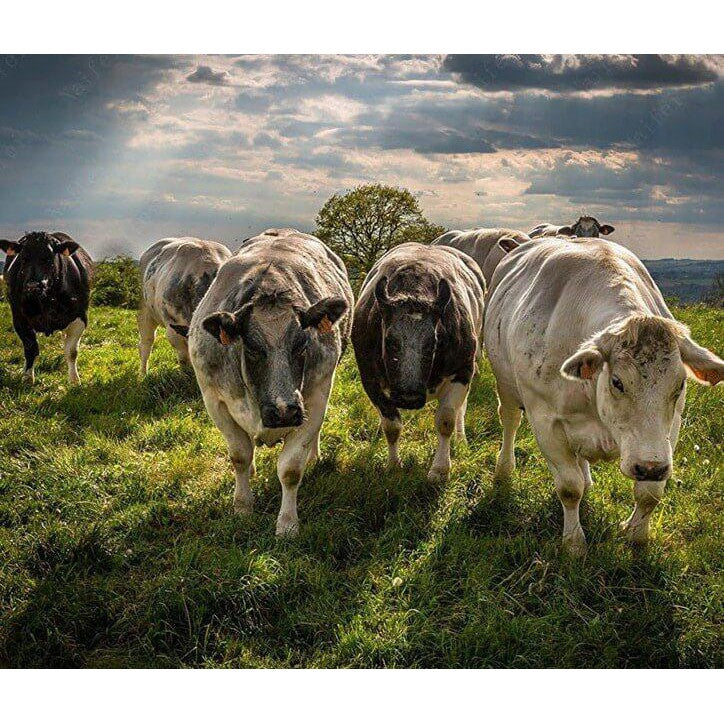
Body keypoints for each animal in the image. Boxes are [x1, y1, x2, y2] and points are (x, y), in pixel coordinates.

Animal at [0, 231, 93, 384]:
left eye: (50, 257)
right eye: (23, 258)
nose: (33, 286)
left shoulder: (80, 317)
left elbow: (72, 351)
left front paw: (74, 380)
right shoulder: (19, 318)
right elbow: (30, 348)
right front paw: (27, 378)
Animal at [187, 228, 353, 536]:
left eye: (302, 344)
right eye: (252, 348)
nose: (283, 410)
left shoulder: (315, 398)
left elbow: (290, 469)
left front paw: (287, 523)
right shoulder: (214, 399)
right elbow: (240, 455)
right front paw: (242, 506)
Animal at [352, 242, 485, 482]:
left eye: (433, 342)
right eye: (389, 340)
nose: (409, 397)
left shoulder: (462, 371)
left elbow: (446, 420)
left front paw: (440, 469)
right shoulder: (369, 378)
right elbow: (391, 425)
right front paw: (393, 465)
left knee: (460, 410)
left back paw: (461, 438)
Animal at [484, 236, 723, 554]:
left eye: (680, 384)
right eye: (617, 382)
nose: (650, 466)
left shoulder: (668, 430)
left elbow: (649, 494)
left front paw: (636, 536)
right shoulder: (545, 420)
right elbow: (569, 488)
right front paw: (574, 544)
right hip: (506, 386)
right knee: (510, 422)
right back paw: (504, 471)